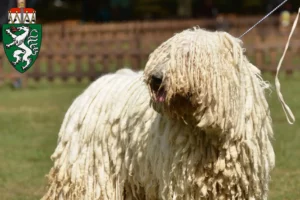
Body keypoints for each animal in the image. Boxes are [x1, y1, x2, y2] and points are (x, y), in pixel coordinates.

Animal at [41, 28, 280, 200]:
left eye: (186, 56)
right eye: (162, 55)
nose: (155, 78)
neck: (210, 131)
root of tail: (94, 87)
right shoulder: (184, 184)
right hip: (91, 171)